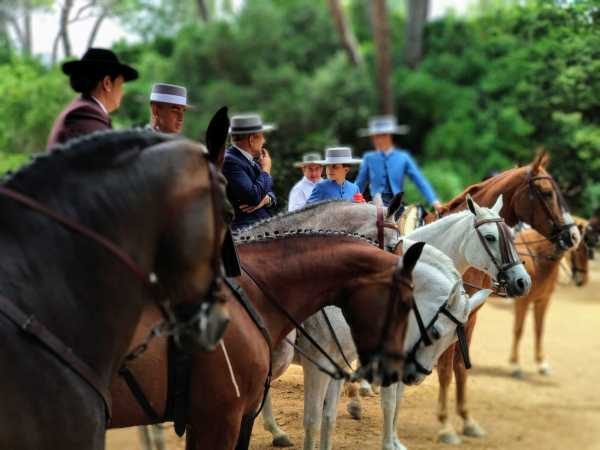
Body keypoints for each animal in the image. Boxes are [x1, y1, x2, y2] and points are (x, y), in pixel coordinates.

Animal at [422, 150, 580, 442]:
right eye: (546, 192)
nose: (573, 235)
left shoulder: (470, 317)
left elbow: (460, 367)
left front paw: (468, 421)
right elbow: (447, 370)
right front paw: (445, 427)